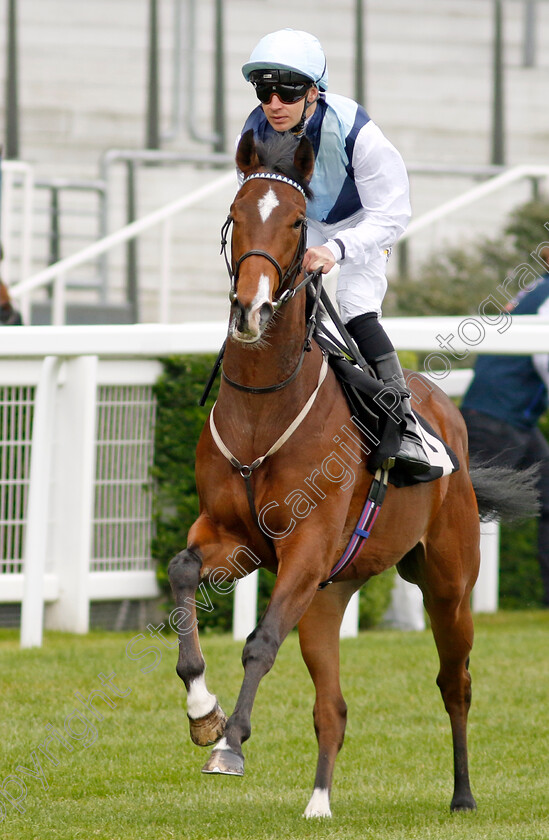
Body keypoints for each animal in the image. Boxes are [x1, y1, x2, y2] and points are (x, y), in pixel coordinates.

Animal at [166, 128, 528, 816]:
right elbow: (181, 574)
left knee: (456, 682)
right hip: (327, 596)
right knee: (331, 708)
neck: (263, 412)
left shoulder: (305, 547)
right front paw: (203, 715)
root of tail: (446, 414)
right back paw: (318, 803)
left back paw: (463, 795)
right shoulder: (238, 538)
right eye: (236, 214)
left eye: (296, 221)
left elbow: (258, 641)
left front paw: (232, 744)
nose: (250, 309)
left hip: (447, 585)